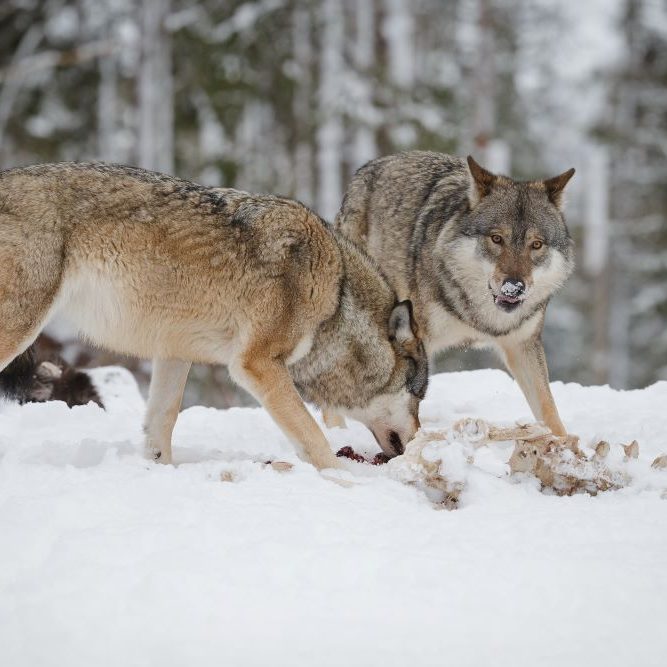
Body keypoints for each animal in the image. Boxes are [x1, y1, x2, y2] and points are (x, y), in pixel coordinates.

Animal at [0, 162, 428, 468]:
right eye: (418, 395)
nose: (418, 442)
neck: (337, 297)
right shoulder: (257, 365)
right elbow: (314, 439)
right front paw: (347, 485)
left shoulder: (173, 353)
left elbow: (162, 426)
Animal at [335, 151, 574, 436]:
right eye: (496, 239)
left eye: (536, 245)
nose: (514, 287)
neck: (481, 319)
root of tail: (369, 167)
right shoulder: (418, 341)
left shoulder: (524, 345)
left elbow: (549, 410)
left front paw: (566, 444)